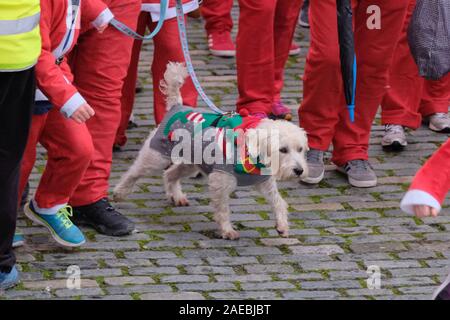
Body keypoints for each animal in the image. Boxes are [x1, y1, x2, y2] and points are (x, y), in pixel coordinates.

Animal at [113, 62, 310, 239]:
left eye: (300, 149)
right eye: (283, 149)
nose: (299, 171)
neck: (251, 151)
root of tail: (177, 106)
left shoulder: (264, 183)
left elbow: (278, 202)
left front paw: (282, 225)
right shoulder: (220, 182)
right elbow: (223, 209)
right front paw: (227, 231)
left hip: (191, 163)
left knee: (169, 174)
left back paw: (176, 196)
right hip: (157, 155)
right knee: (135, 172)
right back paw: (119, 192)